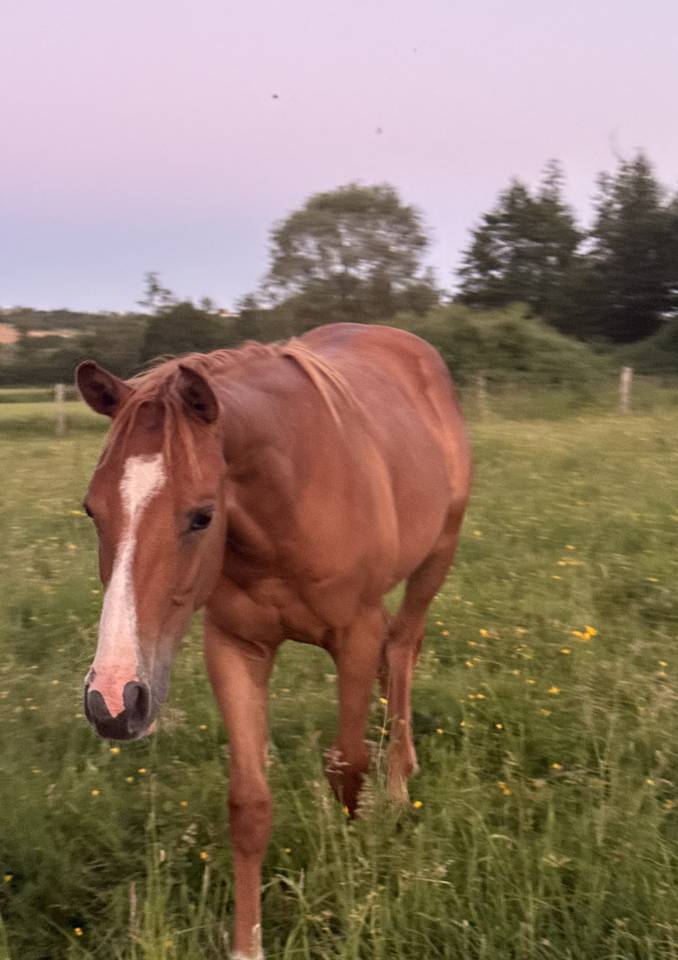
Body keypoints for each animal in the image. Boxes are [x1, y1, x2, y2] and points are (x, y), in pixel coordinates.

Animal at [76, 321, 472, 960]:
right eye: (92, 511)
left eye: (202, 516)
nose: (113, 700)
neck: (284, 504)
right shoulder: (235, 649)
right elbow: (249, 804)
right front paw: (248, 943)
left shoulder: (353, 637)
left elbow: (347, 766)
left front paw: (354, 877)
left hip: (437, 557)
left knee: (404, 647)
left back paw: (397, 785)